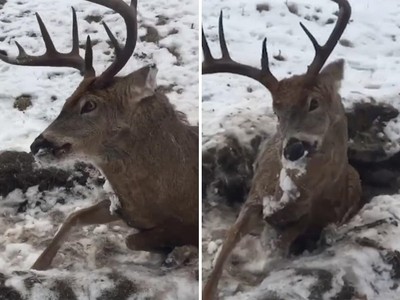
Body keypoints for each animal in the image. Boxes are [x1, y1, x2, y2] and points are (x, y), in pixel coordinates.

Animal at [0, 0, 198, 270]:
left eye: (90, 105)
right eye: (67, 100)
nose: (37, 145)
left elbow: (133, 240)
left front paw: (174, 253)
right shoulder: (122, 208)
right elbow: (74, 216)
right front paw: (37, 266)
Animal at [202, 1, 360, 298]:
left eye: (314, 102)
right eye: (276, 111)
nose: (292, 148)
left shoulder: (307, 216)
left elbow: (274, 252)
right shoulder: (255, 197)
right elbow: (227, 245)